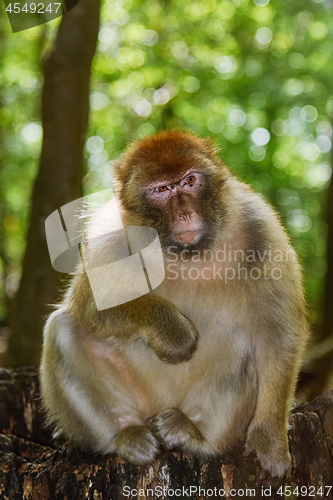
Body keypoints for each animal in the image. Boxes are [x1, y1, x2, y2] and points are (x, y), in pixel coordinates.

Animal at [40, 129, 308, 484]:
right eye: (162, 190)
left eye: (189, 180)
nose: (184, 213)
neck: (187, 253)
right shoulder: (111, 234)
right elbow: (88, 305)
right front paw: (173, 333)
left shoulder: (259, 226)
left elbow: (280, 333)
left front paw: (270, 441)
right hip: (139, 402)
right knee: (64, 328)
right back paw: (125, 436)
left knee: (244, 344)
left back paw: (194, 435)